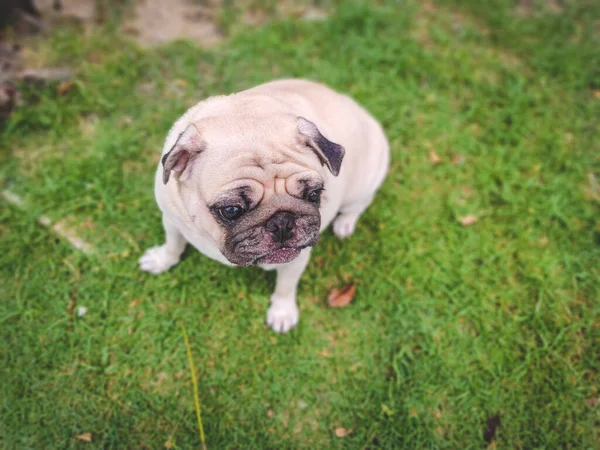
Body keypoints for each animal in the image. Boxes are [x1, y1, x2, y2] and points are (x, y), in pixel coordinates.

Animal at [139, 80, 390, 334]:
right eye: (231, 210)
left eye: (314, 195)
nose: (282, 222)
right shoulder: (172, 220)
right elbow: (173, 245)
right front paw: (162, 260)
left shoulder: (296, 258)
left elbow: (285, 287)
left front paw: (282, 312)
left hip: (361, 186)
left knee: (359, 204)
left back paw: (345, 223)